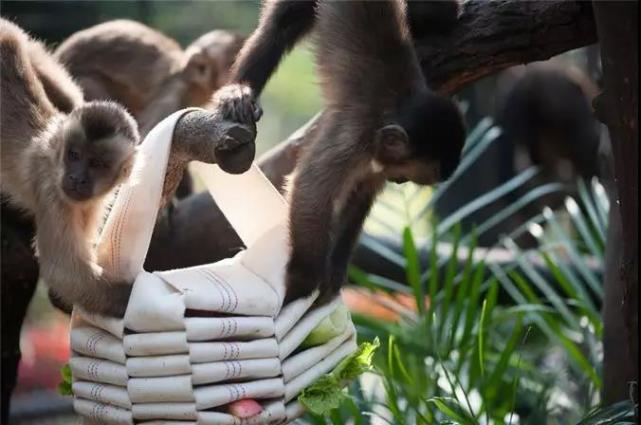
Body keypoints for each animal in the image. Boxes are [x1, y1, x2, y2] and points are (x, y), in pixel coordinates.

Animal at [0, 20, 140, 318]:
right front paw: (134, 296)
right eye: (74, 156)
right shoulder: (52, 190)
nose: (76, 178)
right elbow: (63, 272)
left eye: (96, 164)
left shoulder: (93, 200)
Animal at [215, 0, 464, 304]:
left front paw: (335, 269)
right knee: (281, 23)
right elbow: (310, 191)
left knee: (441, 14)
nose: (398, 181)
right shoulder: (354, 139)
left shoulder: (376, 154)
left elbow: (361, 194)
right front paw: (302, 281)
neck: (392, 107)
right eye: (405, 176)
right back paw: (240, 90)